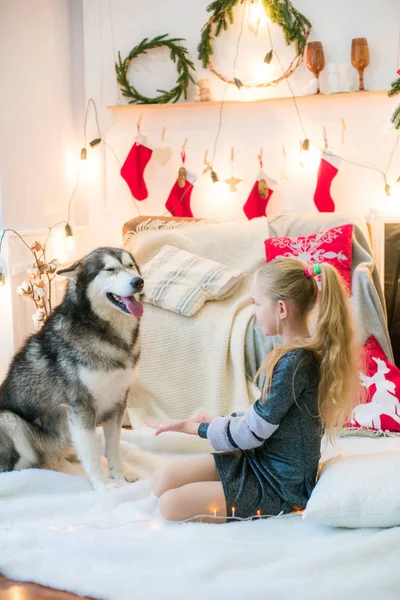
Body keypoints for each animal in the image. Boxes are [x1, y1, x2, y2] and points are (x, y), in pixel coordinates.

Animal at [0, 246, 144, 490]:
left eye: (130, 266)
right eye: (110, 269)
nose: (139, 282)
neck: (104, 332)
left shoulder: (117, 402)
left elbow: (113, 446)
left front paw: (119, 473)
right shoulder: (81, 406)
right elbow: (92, 452)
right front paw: (102, 484)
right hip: (9, 421)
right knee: (27, 467)